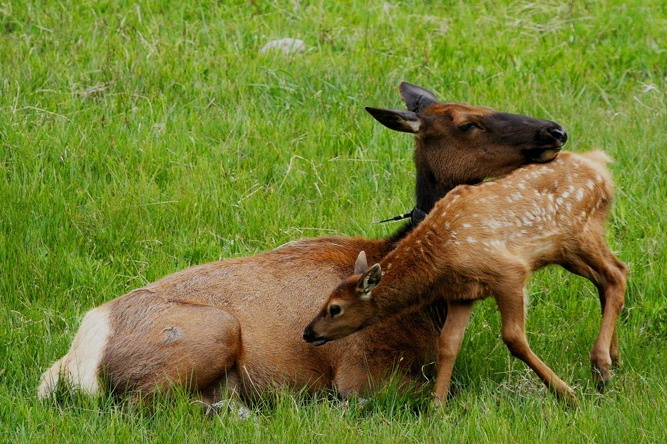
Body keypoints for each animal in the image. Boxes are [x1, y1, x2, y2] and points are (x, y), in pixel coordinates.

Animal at [37, 82, 568, 410]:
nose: (555, 129)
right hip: (213, 331)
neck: (423, 303)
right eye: (466, 123)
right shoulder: (364, 373)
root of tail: (73, 364)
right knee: (140, 407)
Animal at [306, 151, 628, 408]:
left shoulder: (508, 272)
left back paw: (600, 367)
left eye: (335, 307)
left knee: (616, 275)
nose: (308, 333)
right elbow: (448, 343)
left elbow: (513, 338)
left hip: (579, 233)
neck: (440, 259)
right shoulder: (463, 293)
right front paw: (436, 407)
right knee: (611, 276)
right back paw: (613, 359)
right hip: (568, 249)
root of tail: (600, 165)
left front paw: (567, 394)